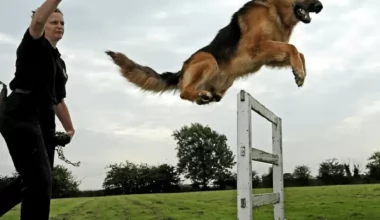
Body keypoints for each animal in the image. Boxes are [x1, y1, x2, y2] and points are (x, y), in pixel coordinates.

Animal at [106, 0, 324, 105]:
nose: (320, 6)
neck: (275, 10)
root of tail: (180, 71)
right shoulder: (256, 47)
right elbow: (293, 48)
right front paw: (299, 72)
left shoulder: (268, 56)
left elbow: (299, 53)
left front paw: (300, 73)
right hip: (208, 59)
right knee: (184, 92)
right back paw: (200, 94)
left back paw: (207, 96)